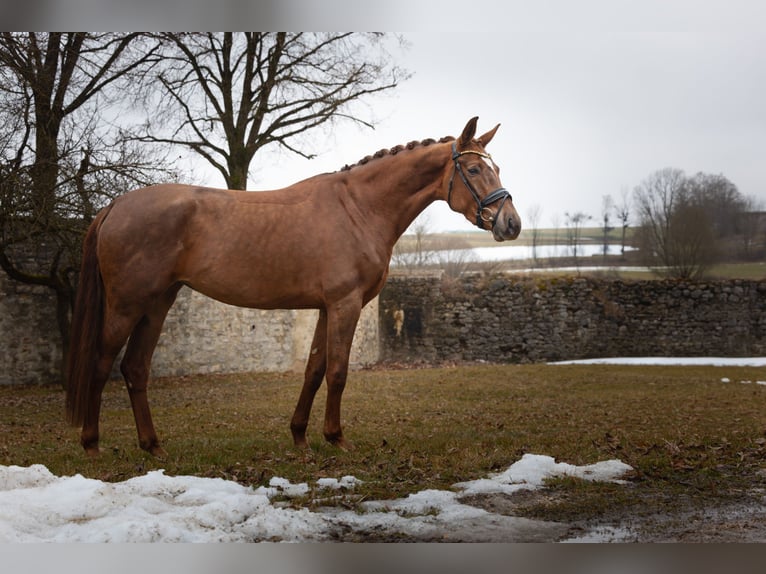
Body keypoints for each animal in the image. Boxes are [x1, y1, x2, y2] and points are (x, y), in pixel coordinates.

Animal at [65, 116, 522, 457]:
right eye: (475, 169)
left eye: (497, 167)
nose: (511, 223)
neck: (358, 208)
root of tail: (115, 206)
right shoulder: (345, 304)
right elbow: (337, 371)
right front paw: (336, 438)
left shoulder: (325, 307)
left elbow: (314, 369)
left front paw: (300, 435)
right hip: (126, 305)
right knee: (102, 363)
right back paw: (92, 445)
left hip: (157, 303)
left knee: (135, 368)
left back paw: (153, 446)